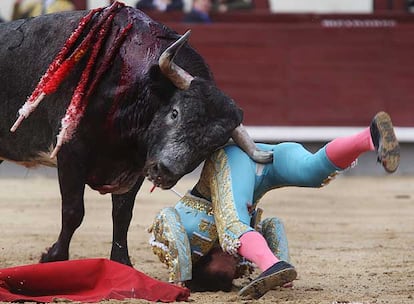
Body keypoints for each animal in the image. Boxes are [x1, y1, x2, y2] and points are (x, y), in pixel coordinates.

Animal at [0, 2, 272, 264]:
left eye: (212, 145)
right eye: (174, 113)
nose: (165, 171)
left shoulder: (136, 166)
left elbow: (122, 215)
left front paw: (122, 262)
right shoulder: (70, 152)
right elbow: (74, 211)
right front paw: (53, 257)